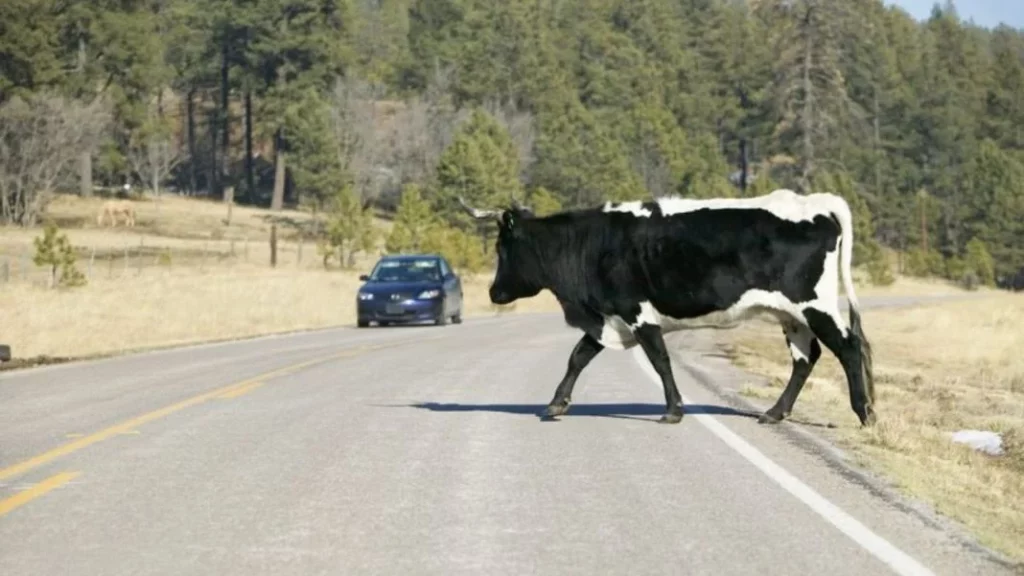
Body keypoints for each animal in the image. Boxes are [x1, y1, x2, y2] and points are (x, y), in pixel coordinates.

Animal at [457, 188, 876, 427]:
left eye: (503, 248)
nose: (494, 292)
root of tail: (815, 201)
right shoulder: (609, 317)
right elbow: (578, 356)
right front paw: (556, 403)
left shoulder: (636, 312)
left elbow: (659, 359)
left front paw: (673, 409)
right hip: (791, 315)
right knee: (807, 358)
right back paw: (774, 413)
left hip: (814, 305)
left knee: (848, 347)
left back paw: (865, 413)